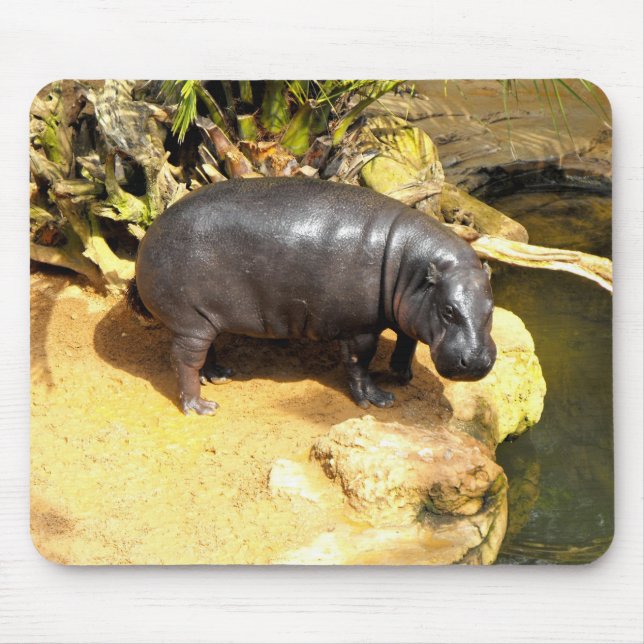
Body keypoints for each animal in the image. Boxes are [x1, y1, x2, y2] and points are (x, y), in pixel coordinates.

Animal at [128, 177, 496, 415]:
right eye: (448, 310)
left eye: (491, 308)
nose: (477, 360)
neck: (414, 266)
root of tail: (149, 235)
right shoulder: (360, 329)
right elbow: (359, 364)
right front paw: (378, 399)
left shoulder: (411, 311)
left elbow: (408, 341)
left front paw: (402, 375)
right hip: (190, 321)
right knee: (184, 360)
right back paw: (200, 406)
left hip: (206, 317)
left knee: (206, 351)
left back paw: (218, 374)